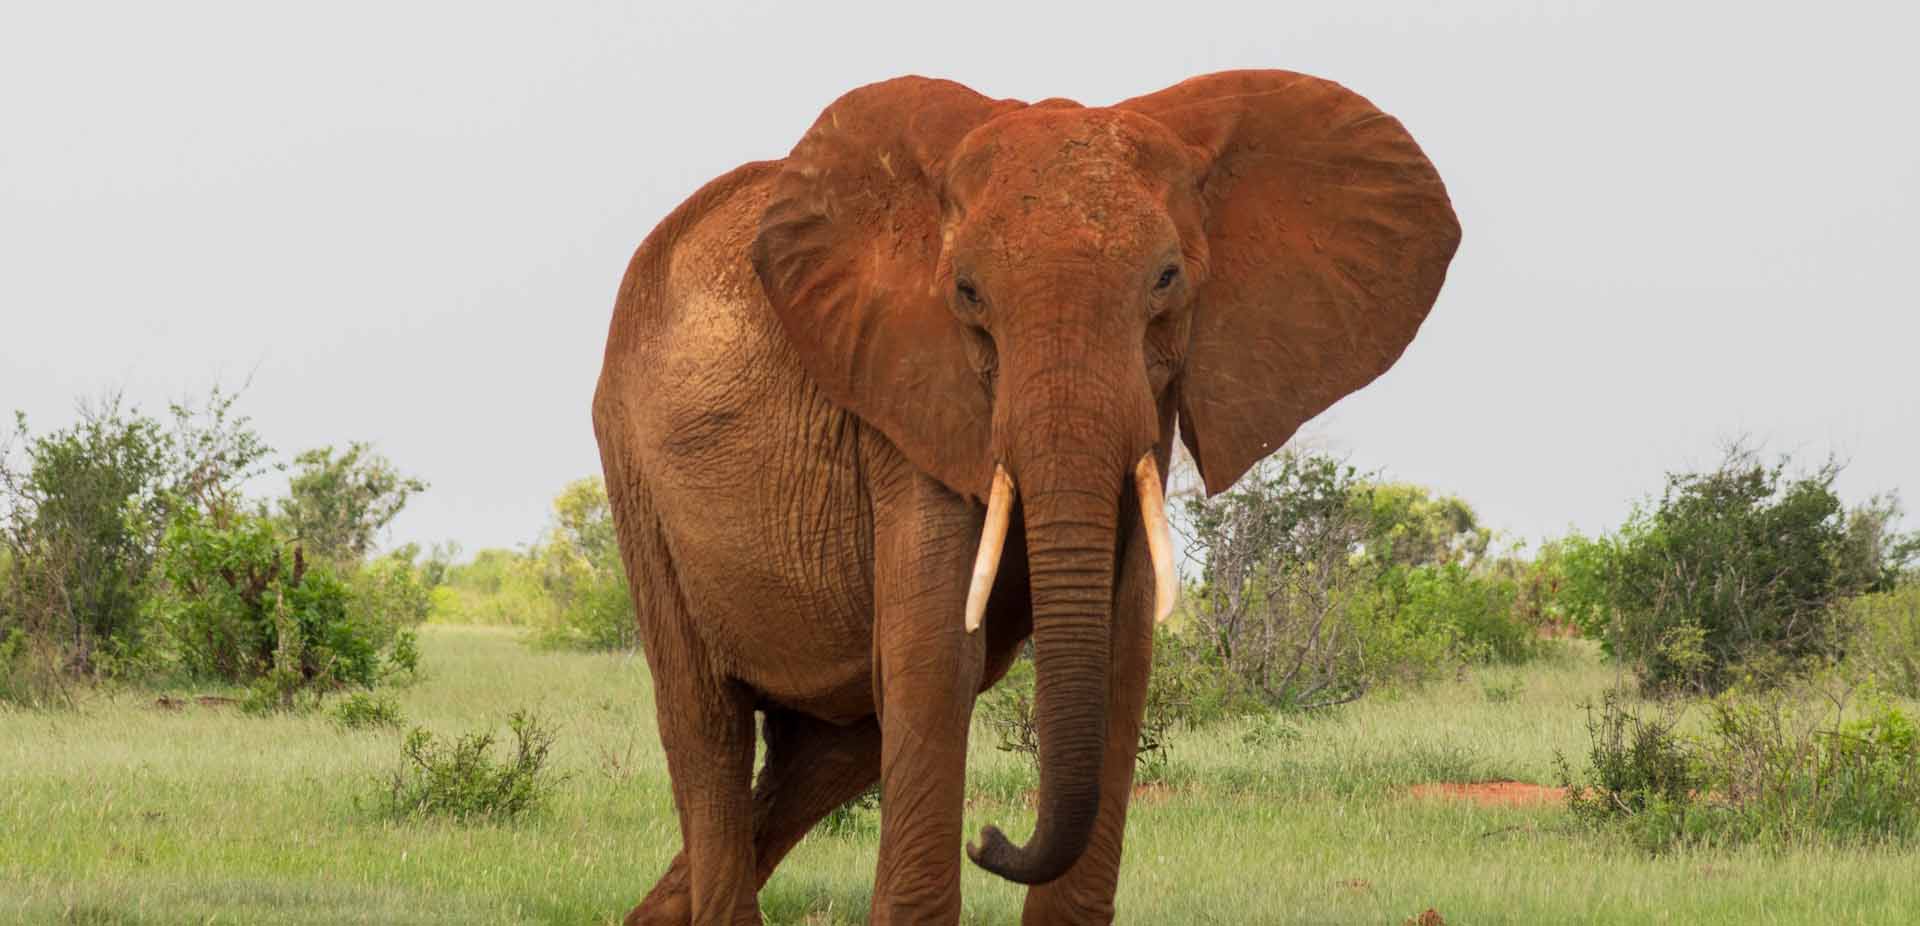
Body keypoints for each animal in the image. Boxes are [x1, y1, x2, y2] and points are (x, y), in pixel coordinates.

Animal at [591, 70, 1459, 925]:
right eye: (968, 292)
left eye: (1168, 280)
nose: (991, 838)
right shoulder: (907, 394)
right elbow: (938, 651)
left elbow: (1120, 647)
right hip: (633, 468)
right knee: (708, 728)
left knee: (834, 751)